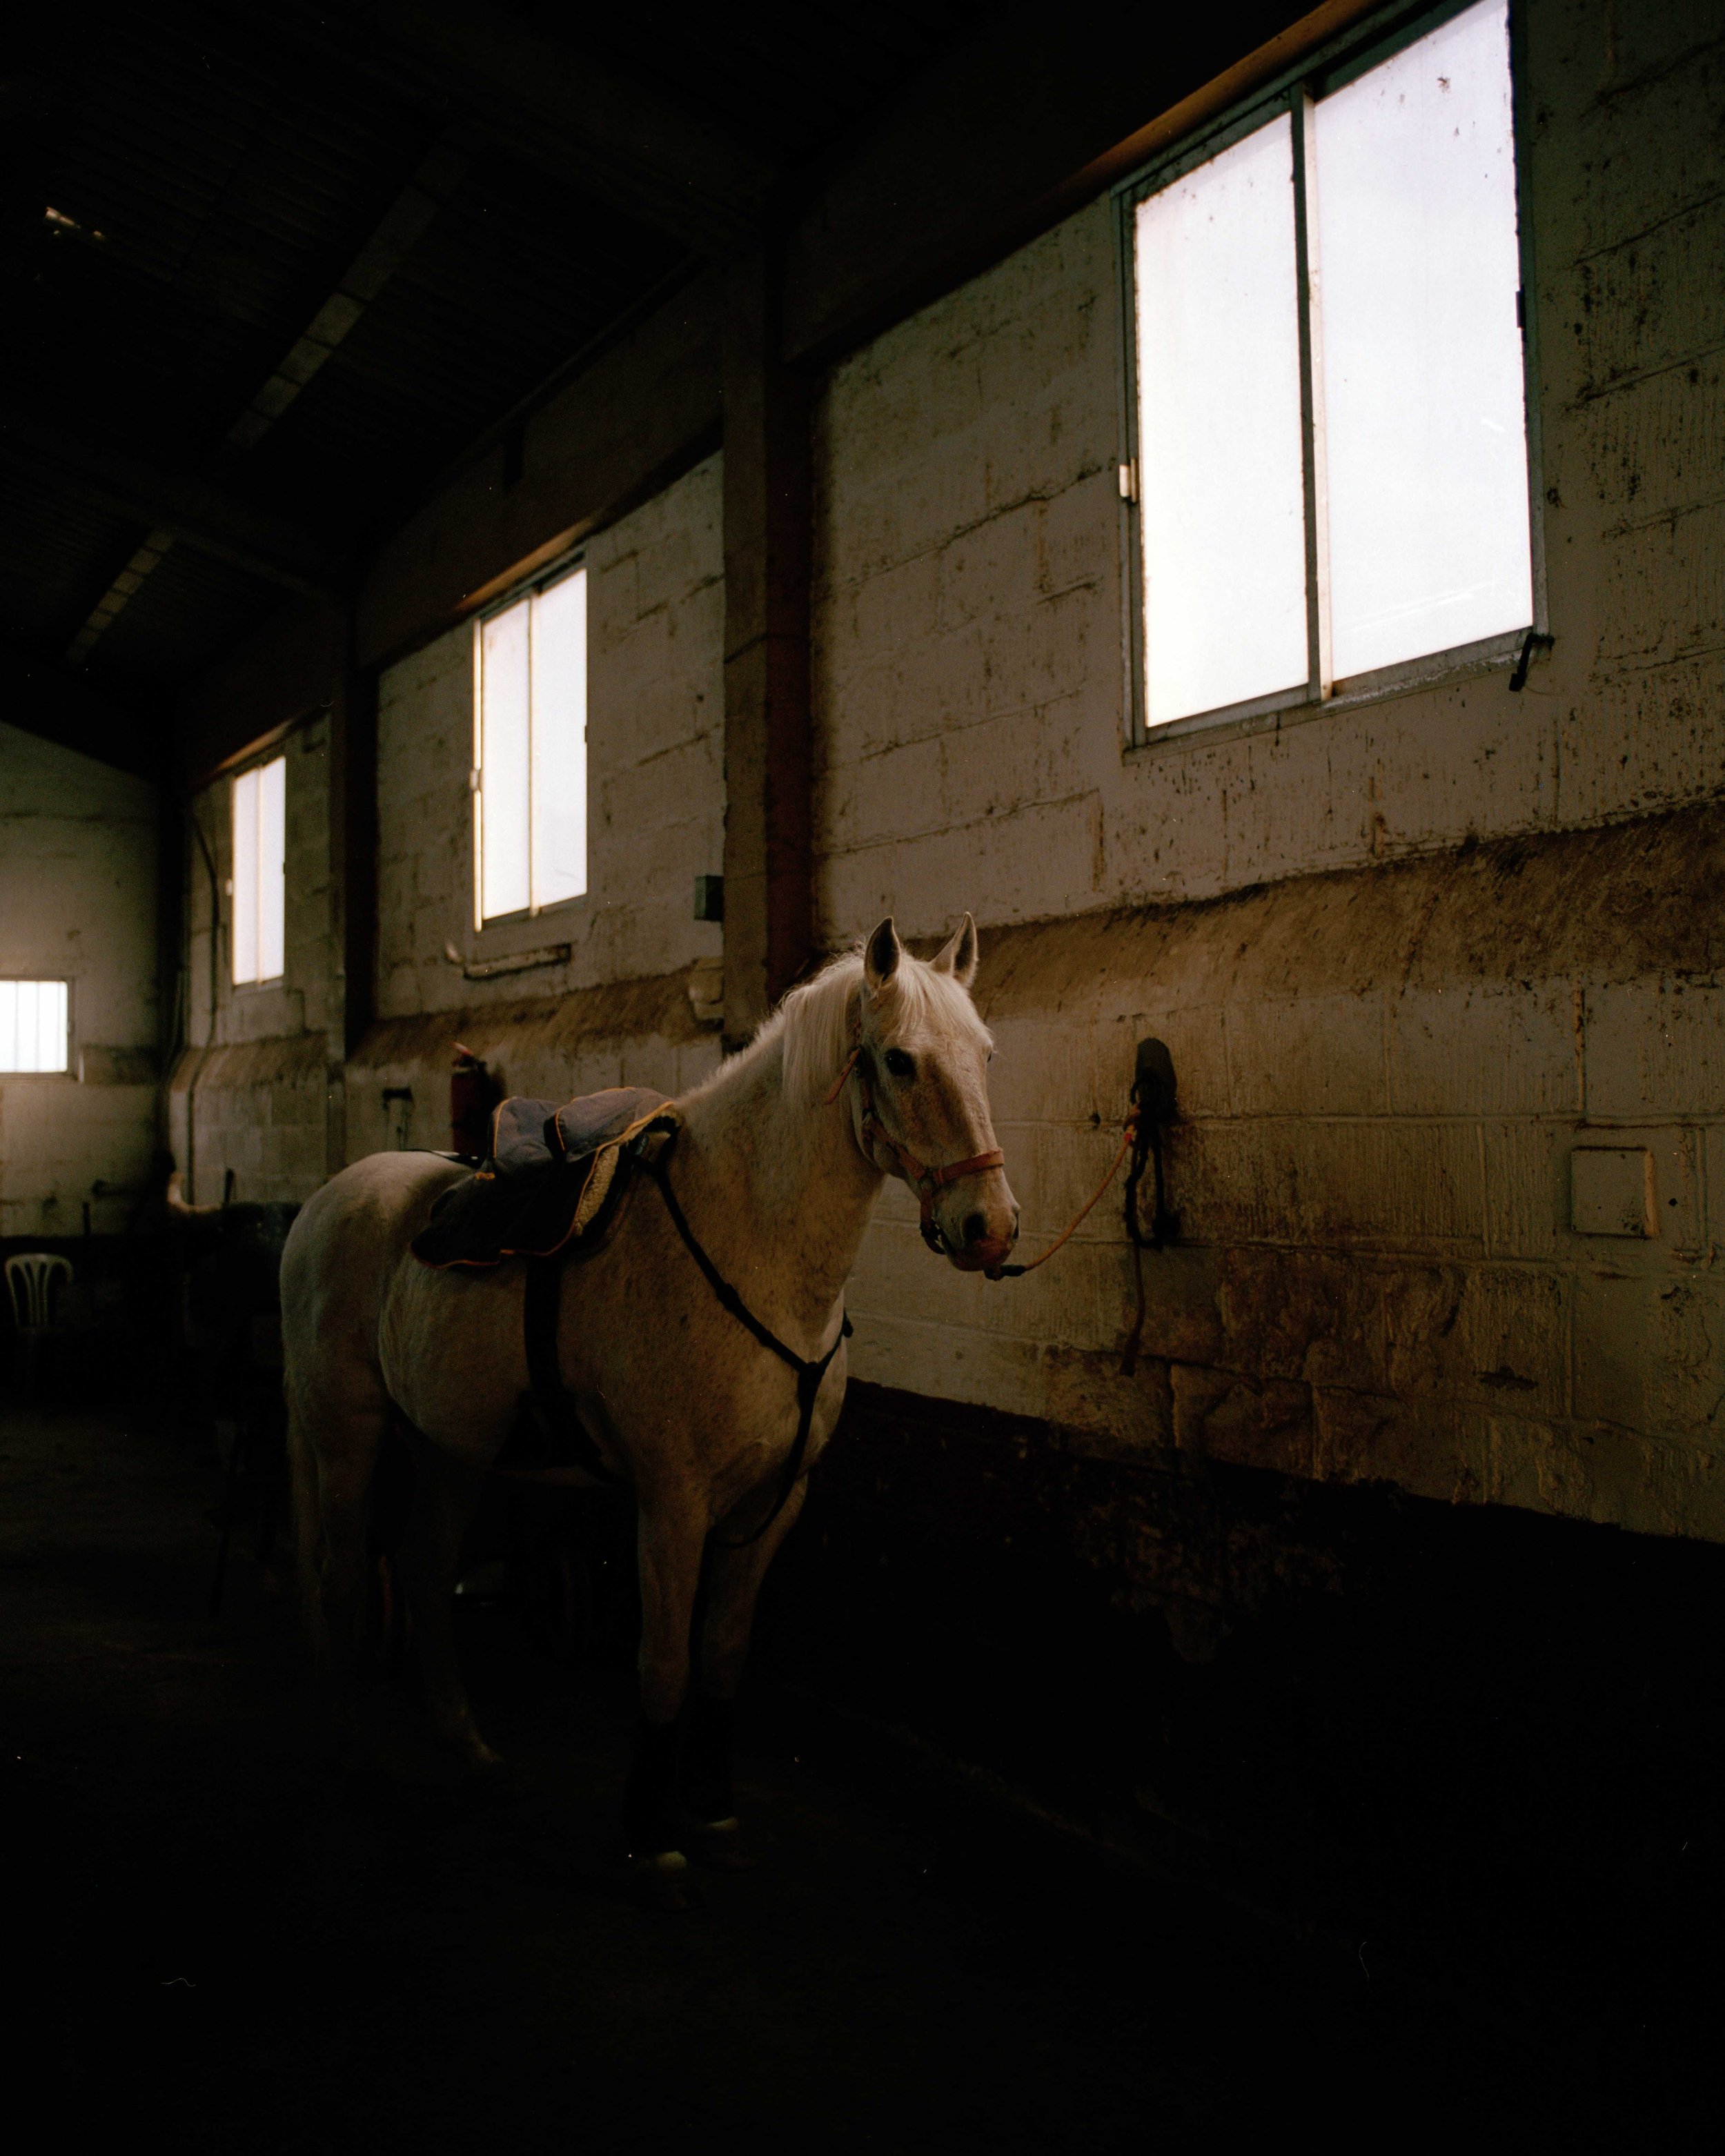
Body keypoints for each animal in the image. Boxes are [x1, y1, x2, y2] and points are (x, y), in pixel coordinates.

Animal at [281, 913, 1018, 1899]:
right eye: (900, 1061)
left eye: (984, 1053)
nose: (991, 1226)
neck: (751, 1245)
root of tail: (325, 1200)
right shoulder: (673, 1502)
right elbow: (663, 1661)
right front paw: (647, 1829)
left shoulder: (770, 1504)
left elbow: (722, 1654)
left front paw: (712, 1809)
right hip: (346, 1434)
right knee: (342, 1580)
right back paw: (344, 1753)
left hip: (450, 1449)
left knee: (425, 1569)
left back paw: (471, 1748)